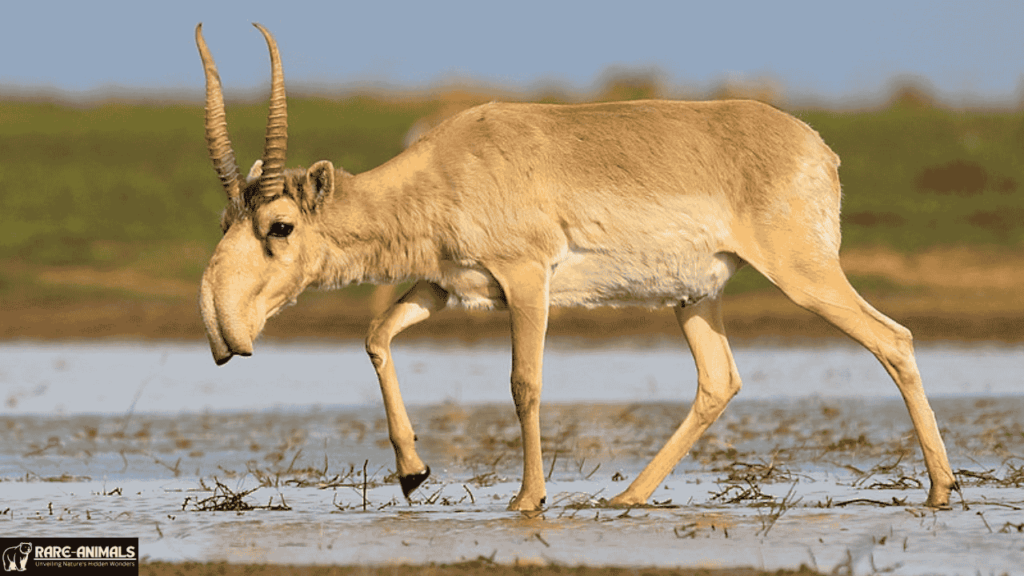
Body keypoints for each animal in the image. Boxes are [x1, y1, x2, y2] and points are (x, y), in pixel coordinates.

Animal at [197, 22, 958, 508]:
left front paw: (527, 500)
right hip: (694, 298)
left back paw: (942, 488)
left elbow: (524, 382)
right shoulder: (446, 287)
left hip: (805, 275)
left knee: (893, 339)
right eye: (226, 221)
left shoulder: (527, 280)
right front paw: (414, 473)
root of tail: (818, 147)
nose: (221, 330)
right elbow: (376, 336)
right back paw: (626, 498)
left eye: (280, 226)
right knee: (719, 381)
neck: (445, 167)